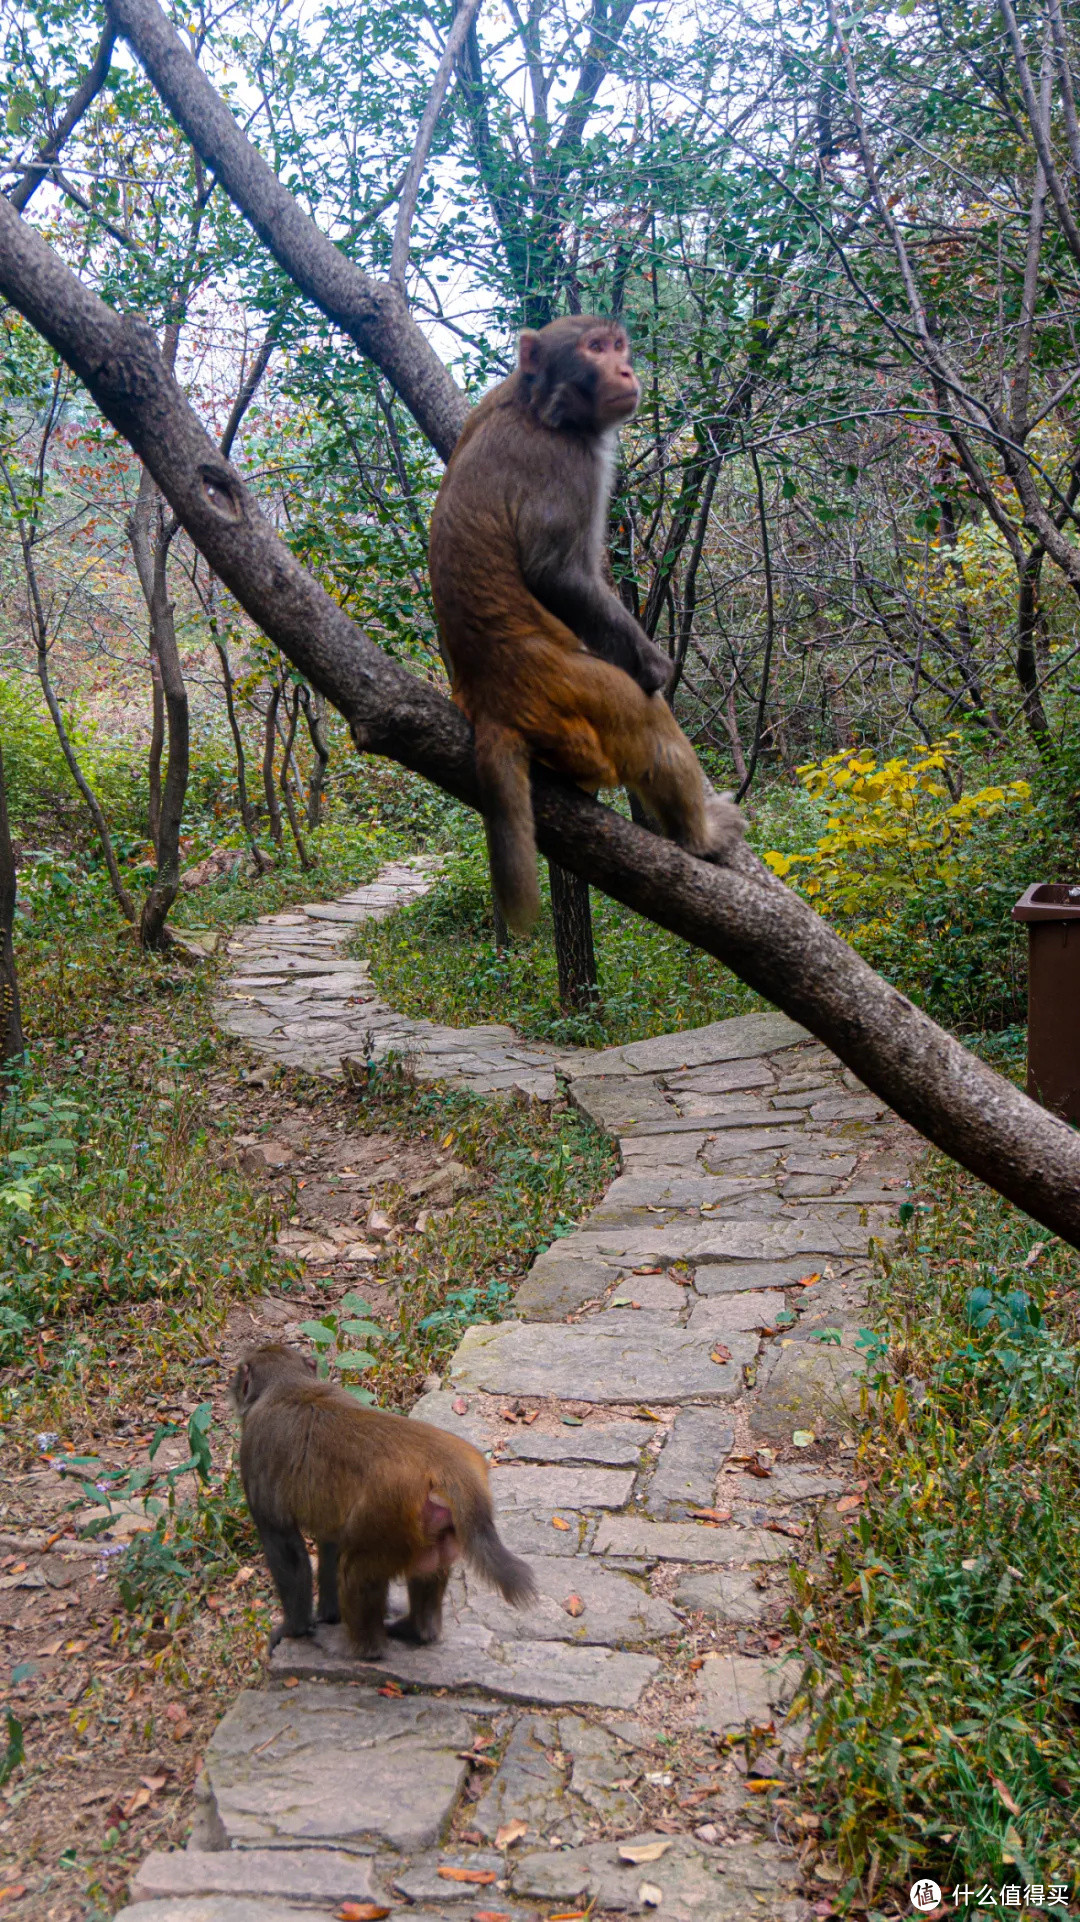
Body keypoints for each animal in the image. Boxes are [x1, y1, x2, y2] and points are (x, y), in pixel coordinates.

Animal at [228, 1345, 530, 1660]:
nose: (234, 1388)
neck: (289, 1384)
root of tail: (447, 1466)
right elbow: (330, 1539)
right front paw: (328, 1615)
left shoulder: (253, 1448)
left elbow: (284, 1544)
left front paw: (293, 1629)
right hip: (430, 1525)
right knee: (427, 1565)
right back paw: (417, 1629)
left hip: (387, 1521)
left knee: (356, 1571)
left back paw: (363, 1650)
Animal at [426, 315, 737, 937]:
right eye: (595, 349)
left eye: (618, 346)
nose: (626, 370)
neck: (535, 405)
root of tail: (488, 699)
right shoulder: (564, 462)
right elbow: (557, 576)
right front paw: (654, 665)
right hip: (570, 692)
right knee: (646, 719)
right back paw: (699, 837)